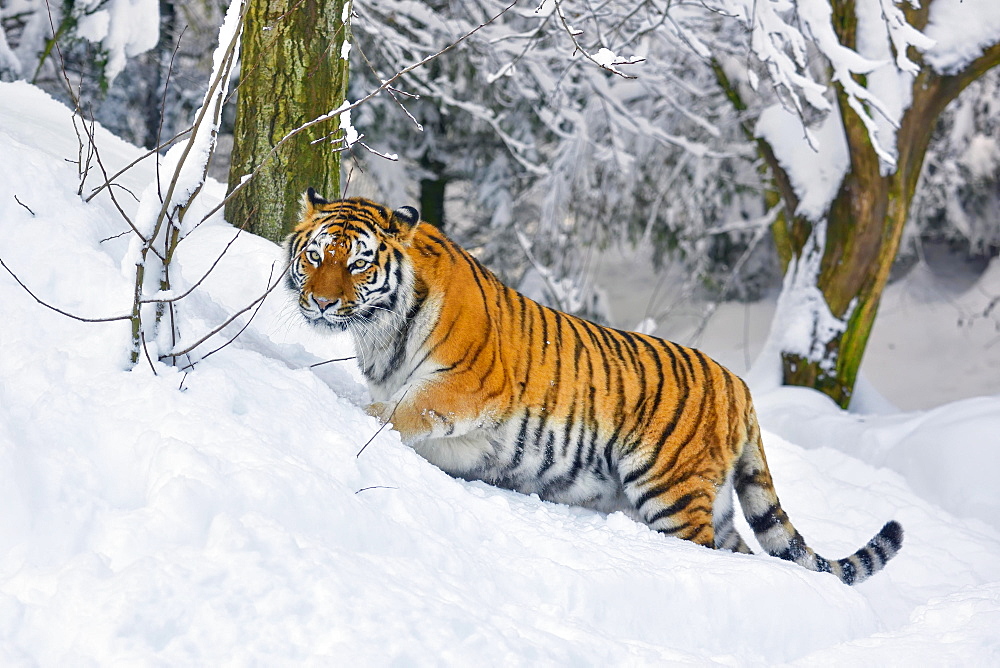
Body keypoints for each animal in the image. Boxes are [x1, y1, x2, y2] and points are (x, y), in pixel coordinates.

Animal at [286, 192, 904, 584]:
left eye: (359, 264)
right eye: (315, 256)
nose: (320, 302)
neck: (379, 330)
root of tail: (740, 384)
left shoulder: (465, 387)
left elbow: (398, 413)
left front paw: (353, 418)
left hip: (670, 489)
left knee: (704, 549)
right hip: (715, 500)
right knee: (745, 551)